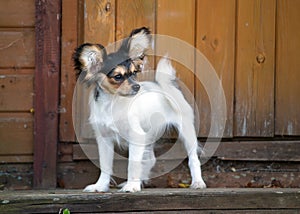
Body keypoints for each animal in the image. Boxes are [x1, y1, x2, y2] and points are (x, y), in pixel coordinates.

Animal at [74, 26, 207, 192]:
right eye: (118, 77)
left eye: (134, 73)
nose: (137, 86)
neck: (113, 102)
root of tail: (163, 87)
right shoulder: (104, 138)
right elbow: (105, 166)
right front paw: (100, 186)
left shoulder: (136, 136)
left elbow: (133, 164)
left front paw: (132, 186)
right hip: (148, 134)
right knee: (150, 159)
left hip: (186, 131)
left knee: (193, 158)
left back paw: (198, 182)